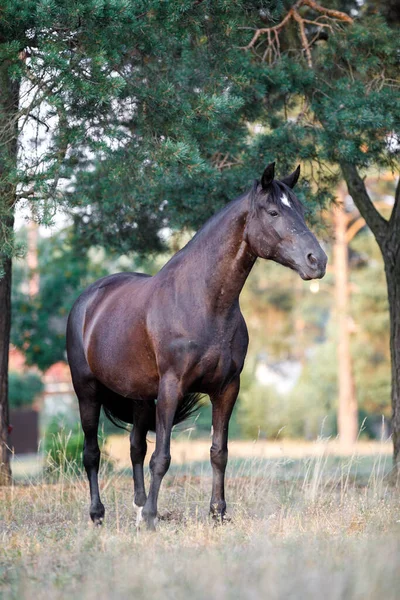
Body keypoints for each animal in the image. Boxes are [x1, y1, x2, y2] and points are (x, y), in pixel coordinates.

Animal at [66, 162, 328, 528]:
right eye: (274, 211)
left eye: (301, 210)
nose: (317, 261)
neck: (204, 303)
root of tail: (88, 300)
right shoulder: (172, 387)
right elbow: (162, 457)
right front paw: (153, 517)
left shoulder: (227, 388)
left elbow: (219, 452)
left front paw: (217, 512)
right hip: (87, 391)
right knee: (92, 453)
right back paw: (98, 514)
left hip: (141, 397)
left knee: (135, 447)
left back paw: (137, 508)